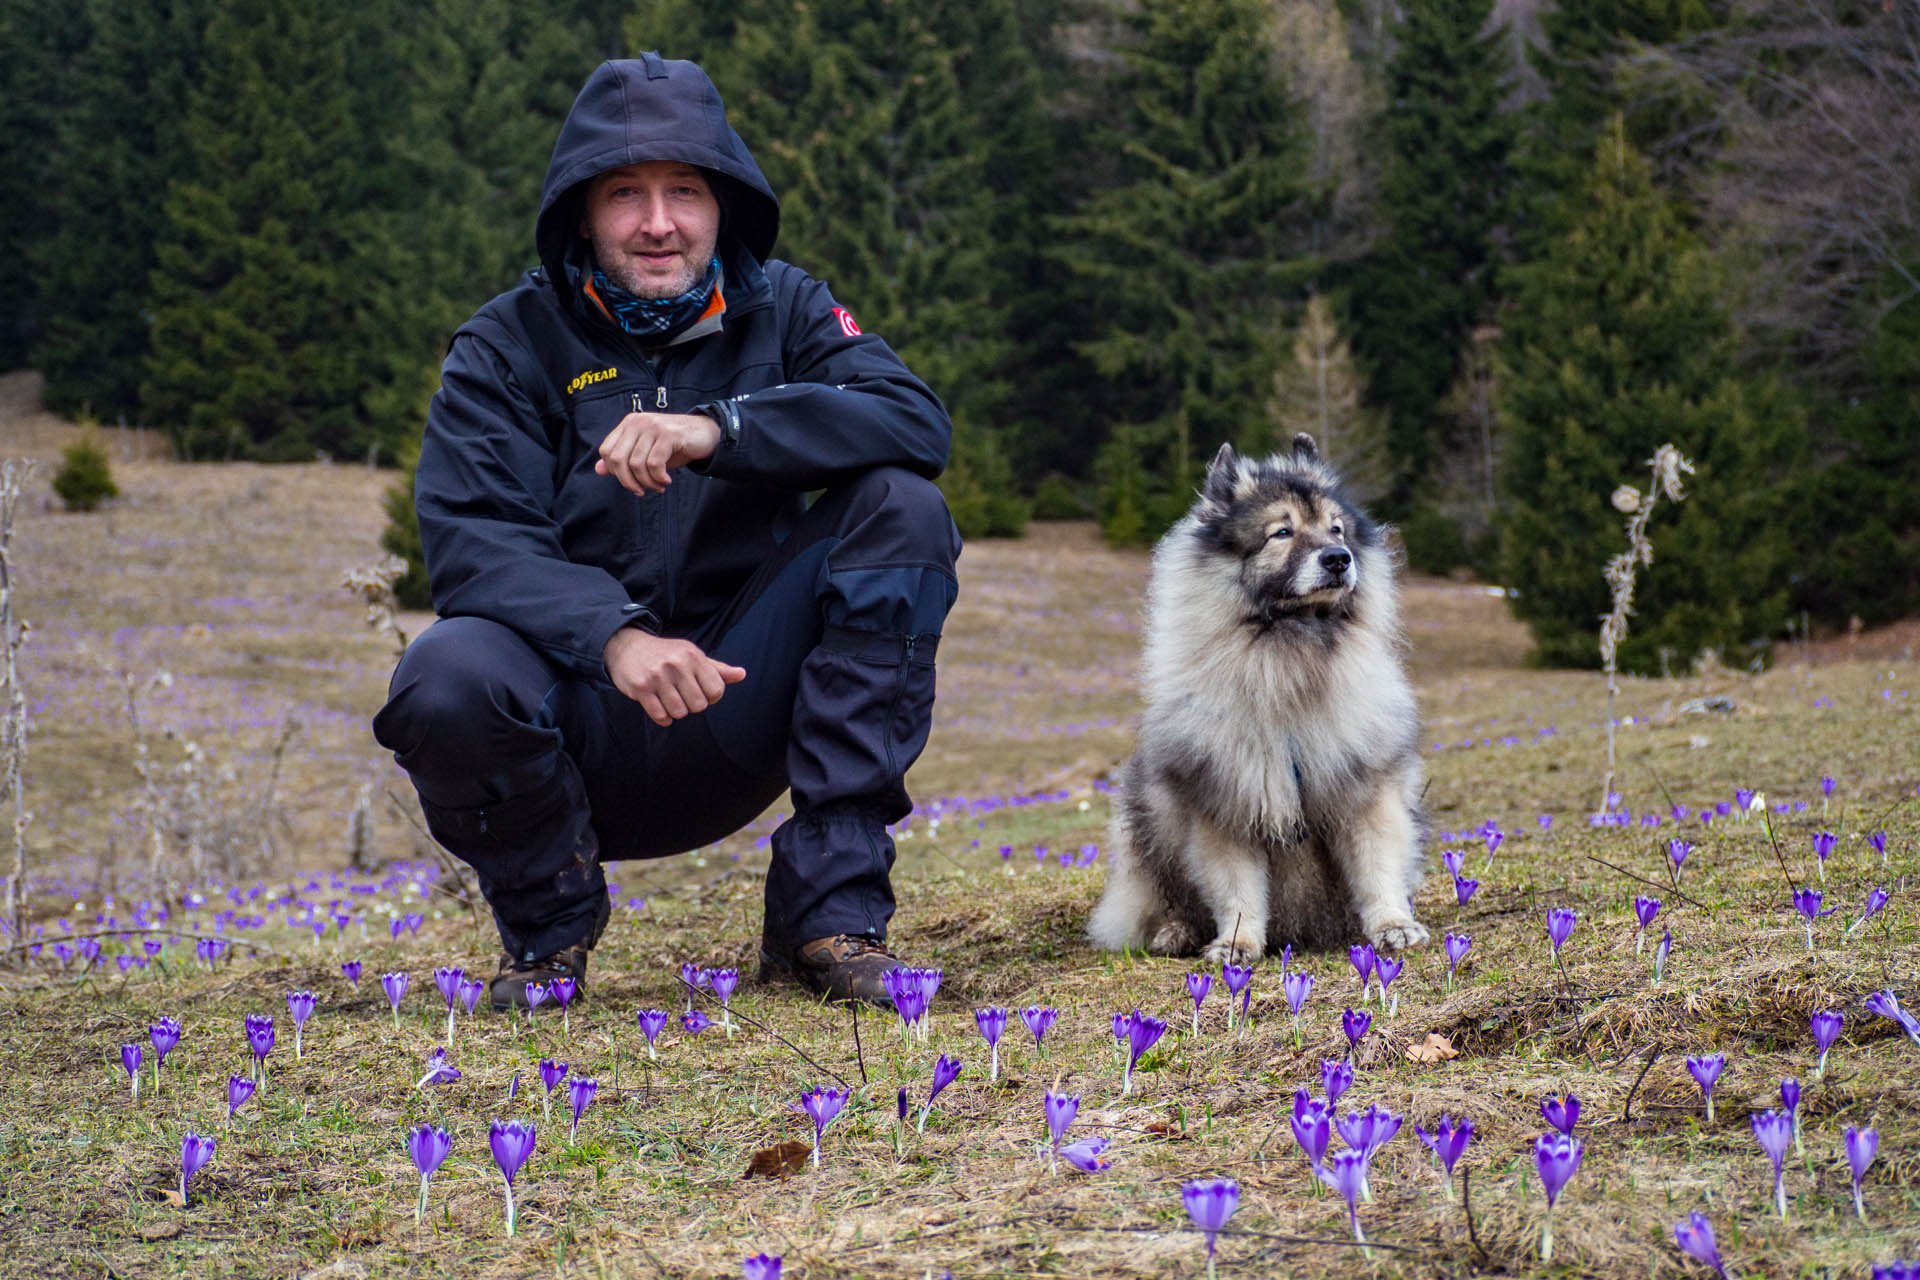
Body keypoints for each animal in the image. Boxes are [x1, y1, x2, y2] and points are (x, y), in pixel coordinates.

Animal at [1098, 437, 1428, 959]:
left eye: (1336, 528)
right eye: (1282, 532)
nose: (1338, 558)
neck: (1289, 656)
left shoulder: (1363, 790)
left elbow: (1377, 868)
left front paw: (1394, 926)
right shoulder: (1226, 802)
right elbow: (1236, 889)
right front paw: (1236, 944)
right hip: (1146, 815)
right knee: (1163, 894)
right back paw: (1174, 932)